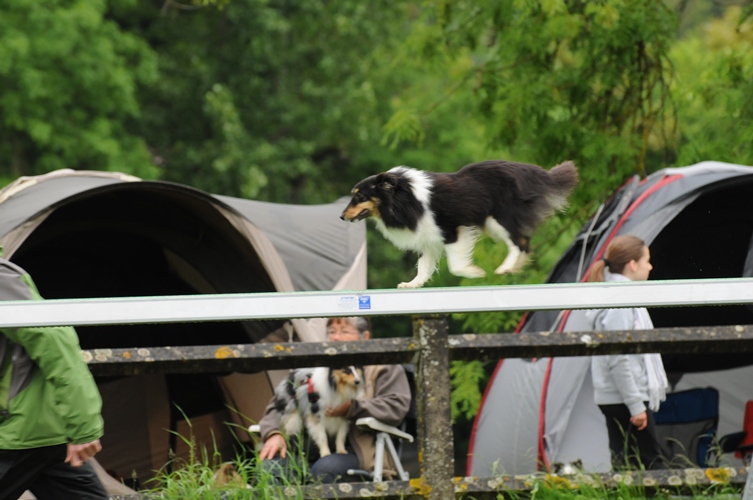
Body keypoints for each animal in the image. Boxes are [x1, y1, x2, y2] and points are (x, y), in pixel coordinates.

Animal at [338, 158, 580, 288]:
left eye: (359, 196)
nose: (341, 217)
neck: (404, 198)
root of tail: (532, 172)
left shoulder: (452, 230)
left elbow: (455, 265)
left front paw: (476, 273)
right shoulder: (428, 238)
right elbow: (423, 266)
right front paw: (412, 284)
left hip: (499, 219)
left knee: (519, 243)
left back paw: (505, 268)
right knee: (525, 242)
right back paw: (515, 267)